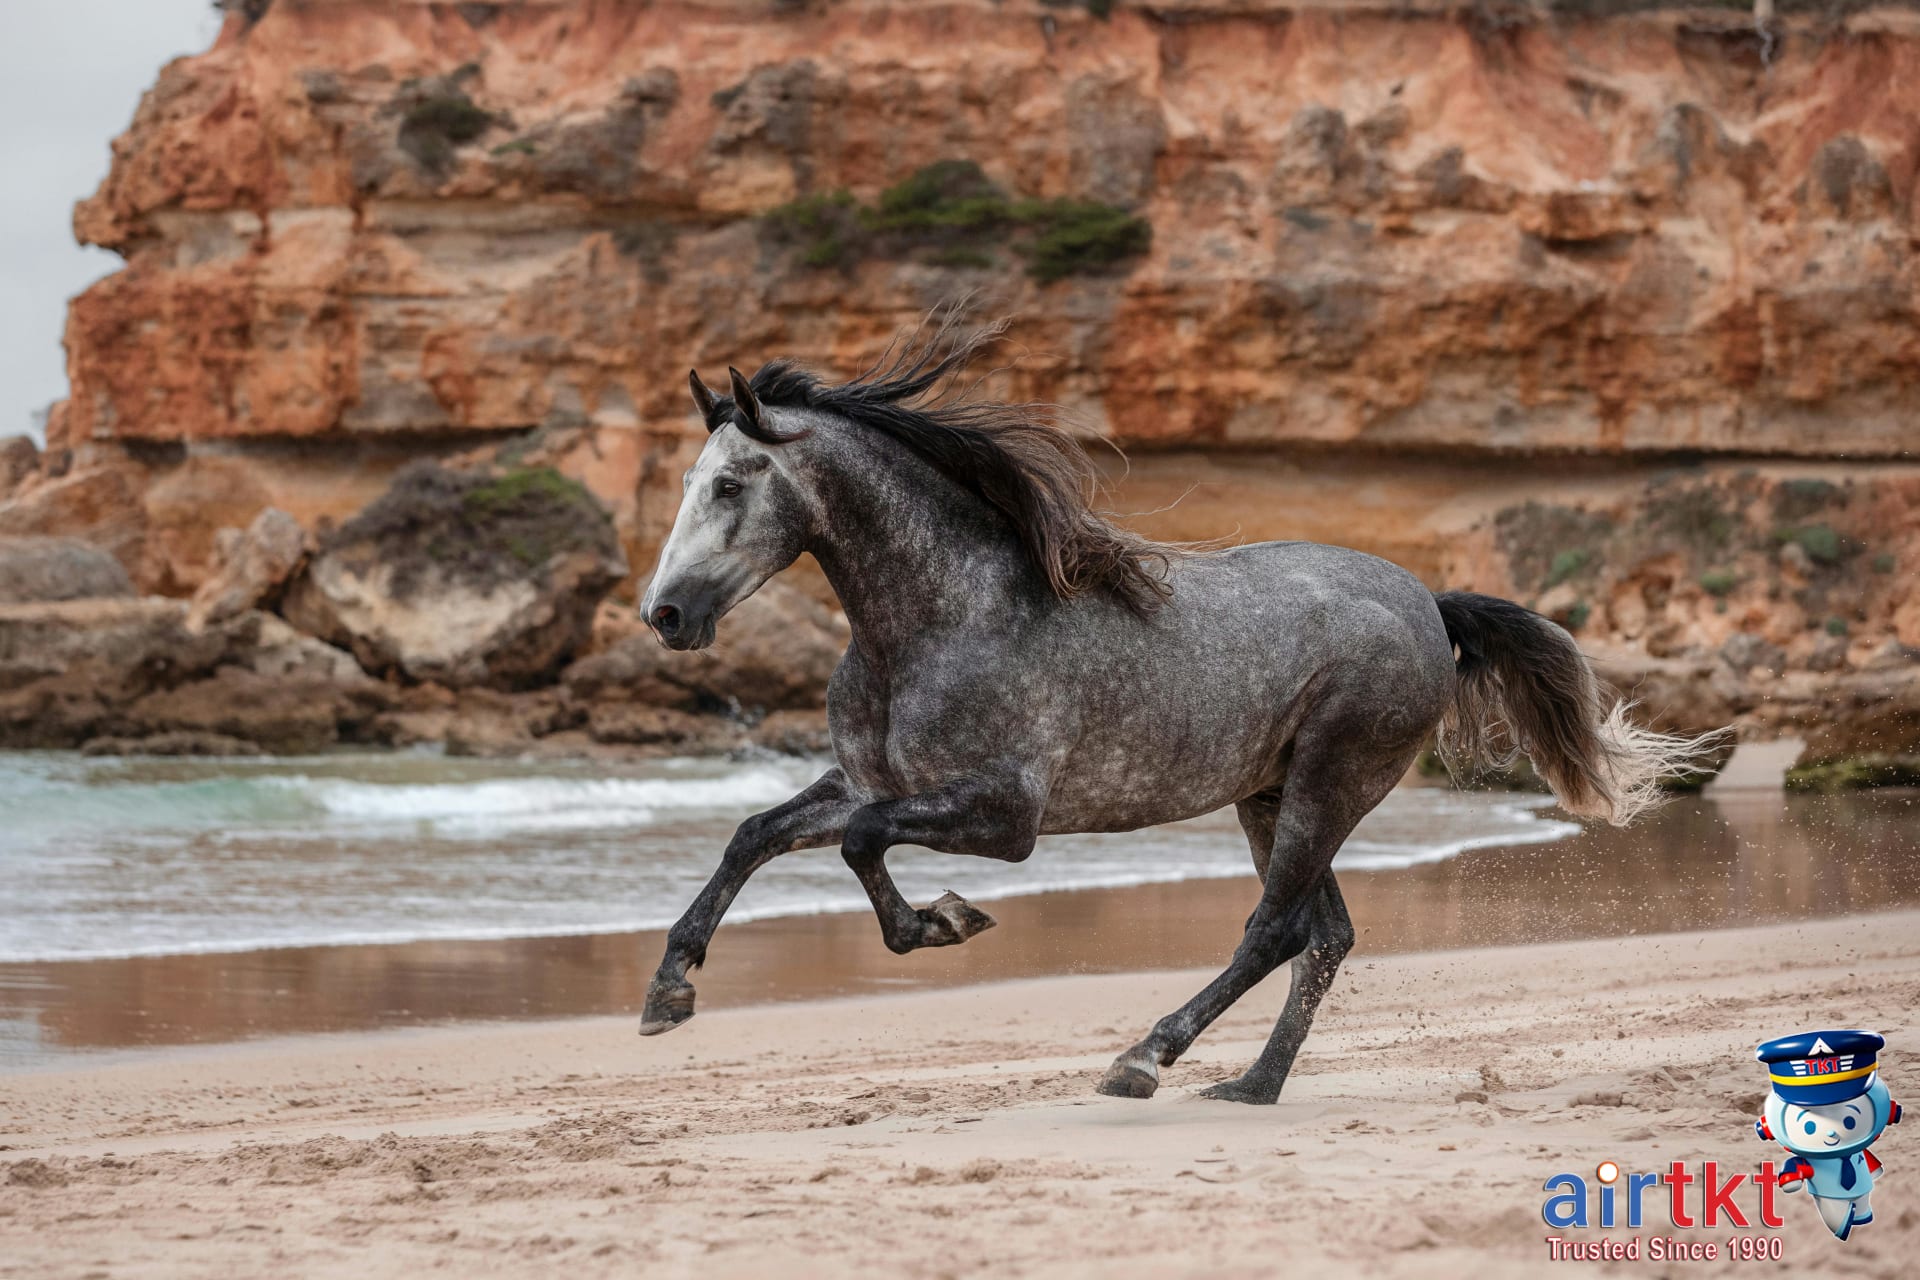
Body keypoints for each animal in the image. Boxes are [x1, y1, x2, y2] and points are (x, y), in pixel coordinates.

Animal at [634, 315, 1721, 1104]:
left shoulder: (1005, 814)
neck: (941, 615)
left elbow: (863, 843)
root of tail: (1429, 602)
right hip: (1269, 795)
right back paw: (1250, 1086)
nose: (665, 613)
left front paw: (944, 922)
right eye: (688, 479)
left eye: (730, 483)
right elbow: (757, 831)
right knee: (1323, 937)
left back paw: (1145, 1059)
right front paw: (669, 990)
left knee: (1275, 930)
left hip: (1329, 783)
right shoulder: (872, 778)